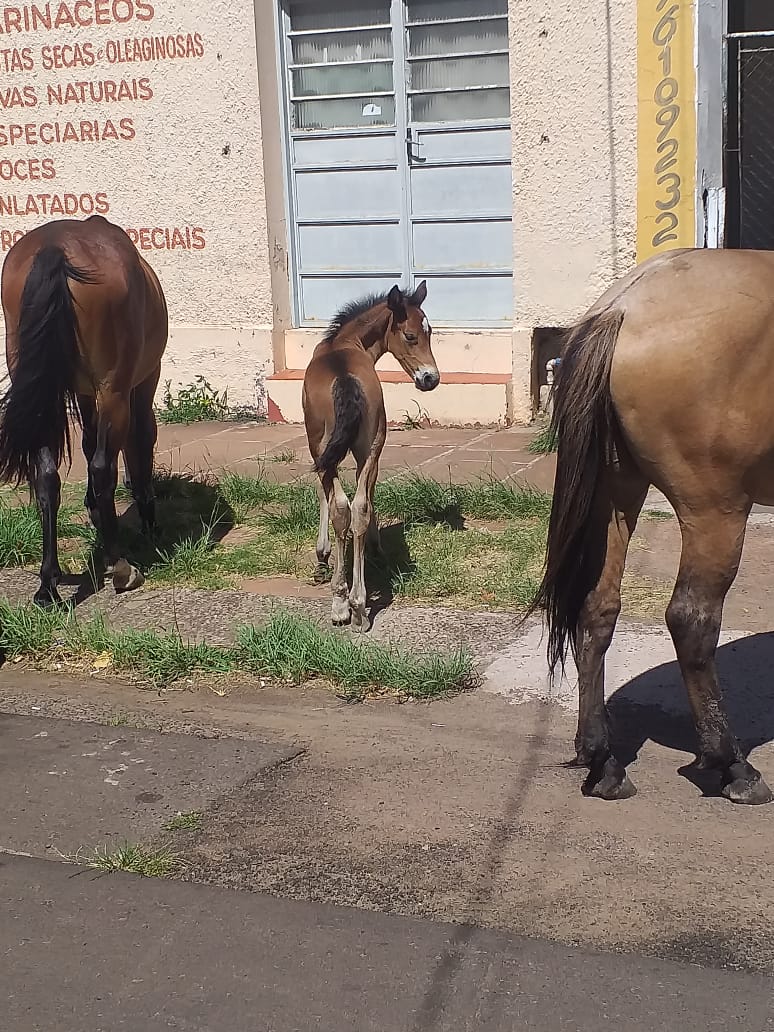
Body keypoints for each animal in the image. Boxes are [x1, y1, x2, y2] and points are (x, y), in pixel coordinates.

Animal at [0, 215, 169, 602]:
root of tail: (55, 248)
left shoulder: (83, 395)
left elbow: (89, 442)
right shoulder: (141, 382)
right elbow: (139, 440)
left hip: (42, 399)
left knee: (47, 477)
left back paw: (48, 585)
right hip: (114, 391)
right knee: (102, 467)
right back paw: (121, 568)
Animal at [303, 280, 439, 627]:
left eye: (429, 333)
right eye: (411, 335)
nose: (431, 379)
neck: (342, 343)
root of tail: (344, 377)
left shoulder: (319, 450)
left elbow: (326, 496)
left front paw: (322, 555)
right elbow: (363, 498)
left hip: (330, 445)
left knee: (341, 506)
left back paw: (342, 603)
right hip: (370, 444)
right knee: (358, 506)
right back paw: (358, 602)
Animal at [532, 247, 774, 804]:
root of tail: (626, 303)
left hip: (616, 496)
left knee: (597, 607)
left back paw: (602, 760)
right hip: (715, 509)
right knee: (691, 620)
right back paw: (731, 766)